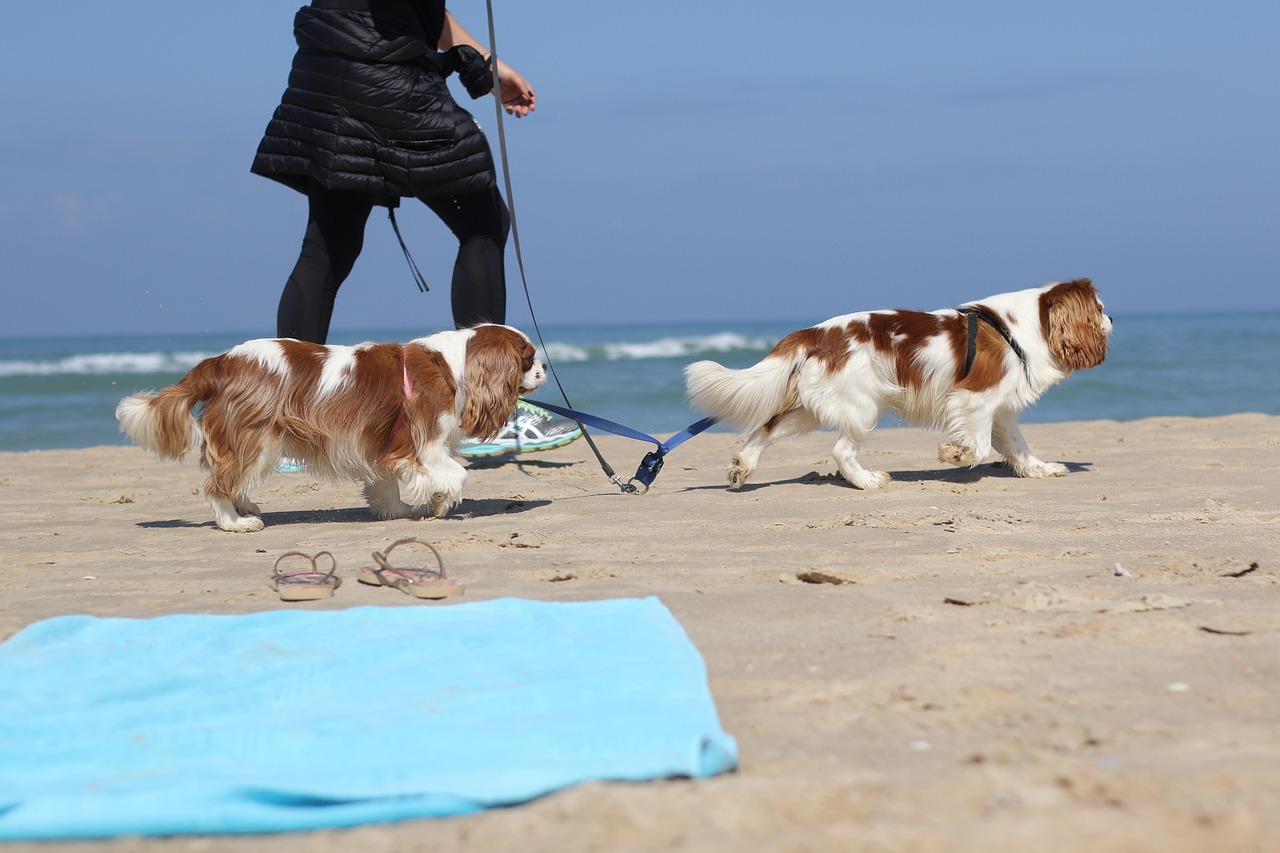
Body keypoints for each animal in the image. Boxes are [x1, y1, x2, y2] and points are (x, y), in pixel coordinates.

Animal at [113, 322, 545, 527]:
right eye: (527, 358)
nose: (544, 367)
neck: (451, 366)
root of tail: (222, 362)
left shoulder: (383, 442)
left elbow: (386, 483)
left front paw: (399, 511)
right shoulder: (426, 446)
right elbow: (457, 475)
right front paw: (439, 505)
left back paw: (244, 504)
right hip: (255, 437)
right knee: (218, 483)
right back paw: (235, 521)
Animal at [686, 279, 1116, 491]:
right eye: (1099, 308)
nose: (1112, 319)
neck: (1019, 327)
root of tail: (816, 332)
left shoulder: (1001, 408)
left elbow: (1019, 447)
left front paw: (1041, 470)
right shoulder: (974, 399)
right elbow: (977, 447)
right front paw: (954, 454)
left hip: (811, 408)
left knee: (767, 428)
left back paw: (742, 469)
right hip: (862, 405)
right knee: (840, 450)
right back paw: (867, 482)